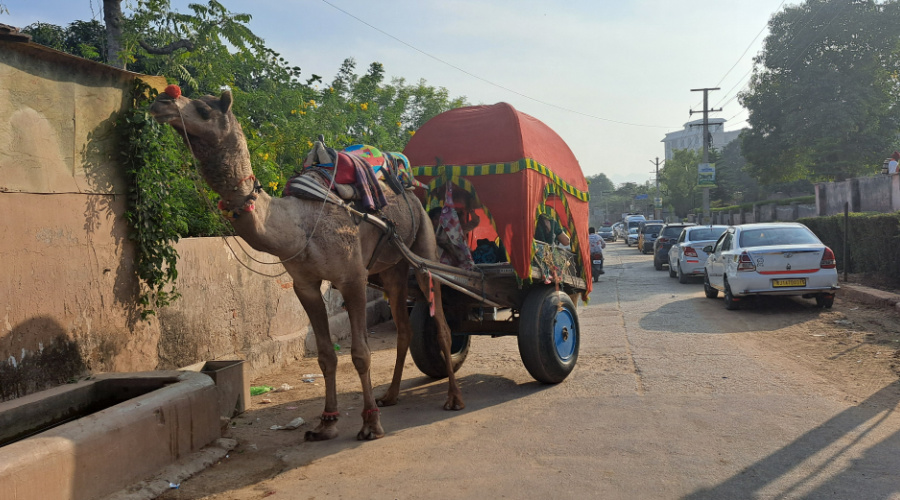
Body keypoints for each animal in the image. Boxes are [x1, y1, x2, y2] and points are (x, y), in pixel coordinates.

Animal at [149, 88, 464, 440]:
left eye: (204, 109)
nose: (161, 101)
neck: (295, 223)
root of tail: (409, 187)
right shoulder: (306, 285)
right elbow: (326, 355)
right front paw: (326, 422)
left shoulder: (352, 278)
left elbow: (361, 353)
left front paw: (370, 424)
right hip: (391, 269)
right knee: (404, 328)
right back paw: (391, 395)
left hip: (423, 246)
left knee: (442, 325)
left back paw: (453, 398)